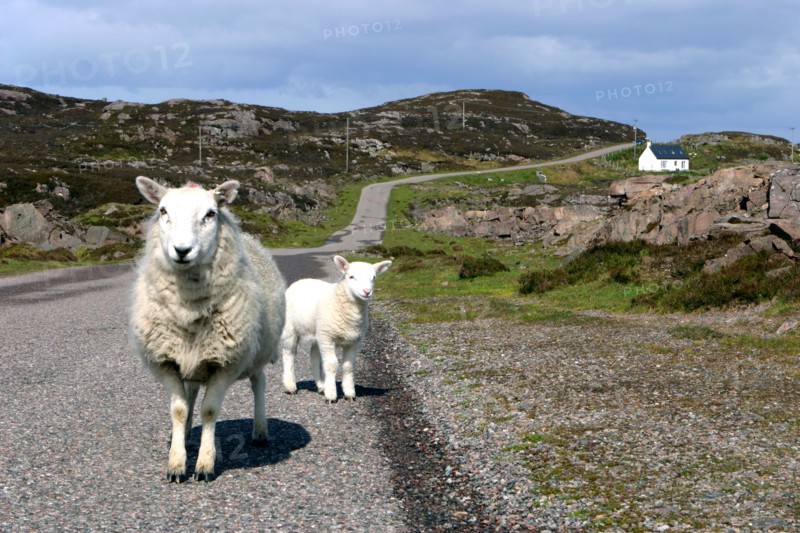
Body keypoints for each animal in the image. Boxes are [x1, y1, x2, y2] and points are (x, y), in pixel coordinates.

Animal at [129, 176, 286, 482]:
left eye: (210, 214)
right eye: (163, 211)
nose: (182, 250)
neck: (189, 307)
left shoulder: (225, 363)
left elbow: (211, 411)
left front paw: (204, 465)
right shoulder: (167, 361)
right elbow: (178, 410)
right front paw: (176, 463)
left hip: (256, 352)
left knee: (258, 383)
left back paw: (260, 430)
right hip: (191, 359)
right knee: (190, 393)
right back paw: (188, 433)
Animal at [280, 255, 391, 403]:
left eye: (373, 277)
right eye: (351, 276)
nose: (367, 292)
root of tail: (300, 281)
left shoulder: (353, 341)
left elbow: (348, 366)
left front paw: (349, 393)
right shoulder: (328, 338)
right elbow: (331, 364)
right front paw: (331, 395)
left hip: (319, 333)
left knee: (314, 355)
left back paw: (321, 386)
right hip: (291, 329)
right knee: (289, 354)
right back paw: (290, 386)